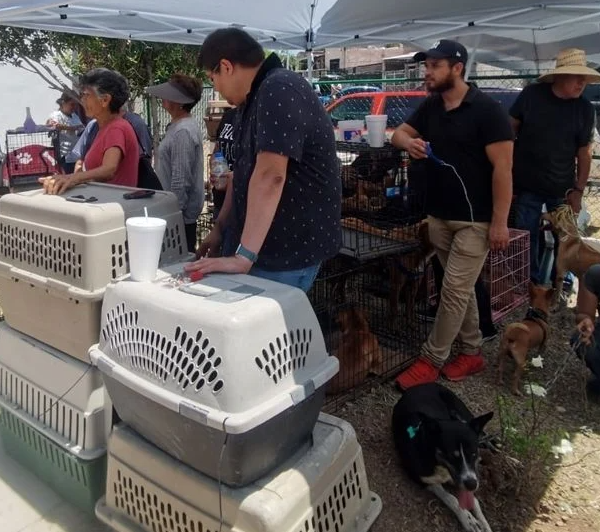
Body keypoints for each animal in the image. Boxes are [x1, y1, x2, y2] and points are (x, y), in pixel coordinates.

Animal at [392, 382, 494, 532]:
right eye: (452, 455)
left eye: (473, 453)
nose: (472, 485)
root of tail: (419, 385)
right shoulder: (424, 480)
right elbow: (452, 498)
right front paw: (469, 520)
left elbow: (473, 500)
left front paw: (484, 523)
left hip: (461, 411)